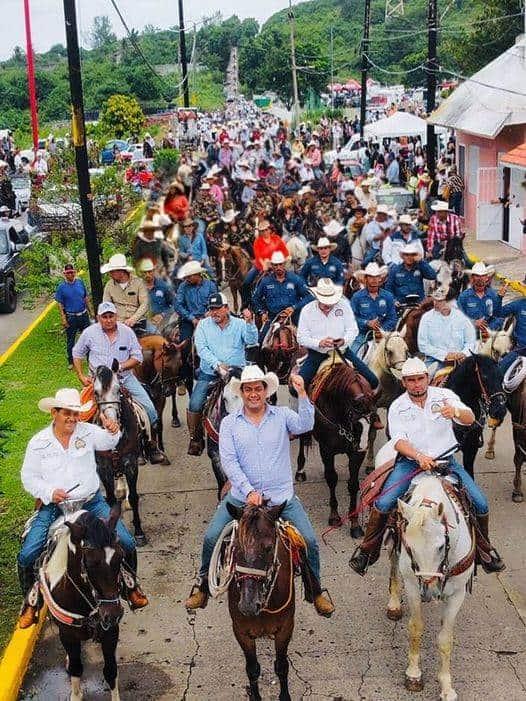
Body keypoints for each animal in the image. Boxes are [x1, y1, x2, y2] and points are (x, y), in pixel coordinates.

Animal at [39, 504, 125, 700]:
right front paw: (76, 694)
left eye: (120, 556)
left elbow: (111, 671)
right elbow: (76, 669)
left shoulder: (111, 632)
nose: (113, 615)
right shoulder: (68, 635)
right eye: (91, 563)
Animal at [94, 360, 147, 548]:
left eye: (118, 389)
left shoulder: (131, 464)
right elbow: (110, 500)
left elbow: (134, 497)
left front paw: (139, 532)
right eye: (95, 392)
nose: (111, 423)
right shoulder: (104, 468)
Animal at [225, 504, 300, 700]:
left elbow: (281, 666)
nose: (248, 605)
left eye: (268, 548)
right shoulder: (241, 632)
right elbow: (252, 669)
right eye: (236, 547)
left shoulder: (285, 629)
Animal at [296, 358, 376, 532]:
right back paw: (300, 470)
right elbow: (332, 478)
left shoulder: (356, 454)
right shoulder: (326, 450)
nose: (363, 446)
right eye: (357, 425)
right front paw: (334, 517)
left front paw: (354, 524)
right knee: (302, 440)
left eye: (373, 421)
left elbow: (353, 484)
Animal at [390, 470, 476, 700]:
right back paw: (393, 605)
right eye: (410, 548)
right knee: (392, 563)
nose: (429, 593)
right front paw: (413, 675)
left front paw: (446, 686)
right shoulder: (412, 585)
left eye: (440, 546)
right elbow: (415, 627)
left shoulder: (457, 594)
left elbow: (445, 638)